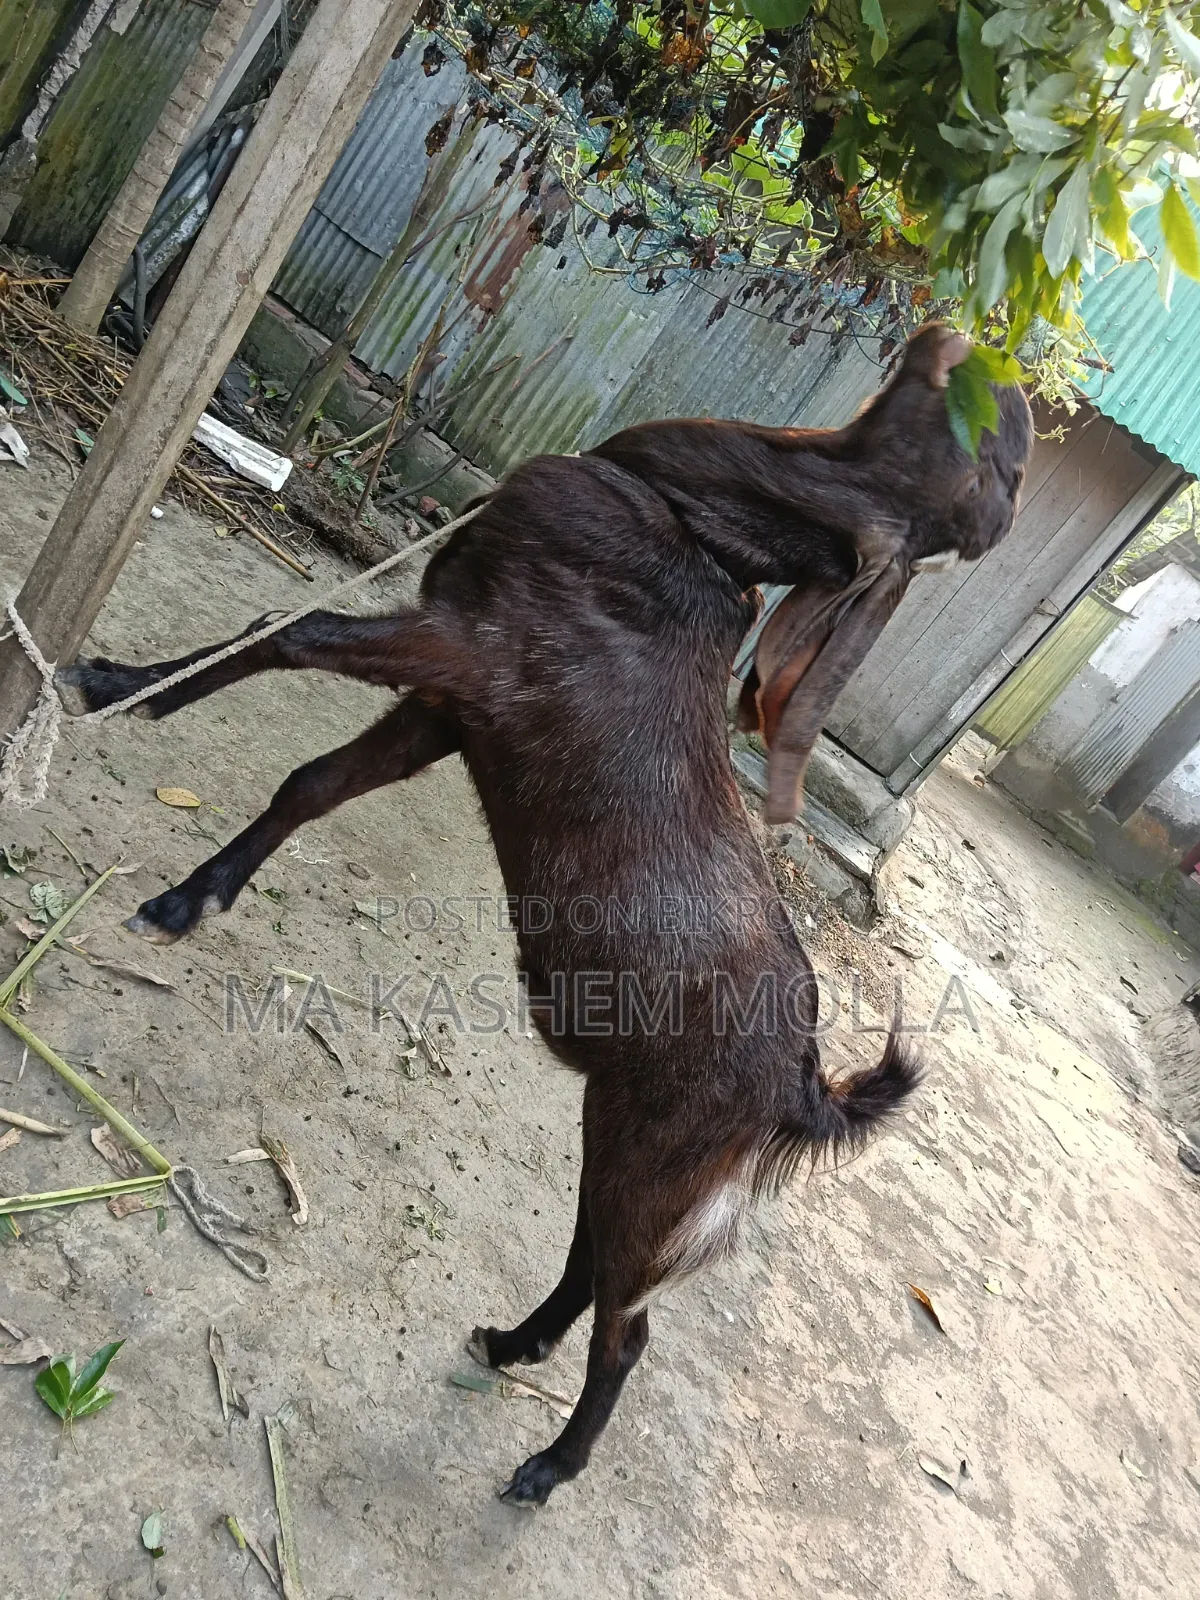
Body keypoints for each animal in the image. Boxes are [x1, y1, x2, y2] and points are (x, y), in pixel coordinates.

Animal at [59, 324, 1033, 1506]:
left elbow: (292, 628)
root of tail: (804, 1086)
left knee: (632, 1329)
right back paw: (513, 1342)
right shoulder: (453, 711)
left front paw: (115, 680)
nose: (973, 342)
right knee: (589, 1263)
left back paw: (550, 1464)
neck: (687, 522)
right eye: (1002, 454)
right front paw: (190, 884)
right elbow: (309, 781)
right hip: (620, 1135)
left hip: (659, 1165)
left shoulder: (474, 653)